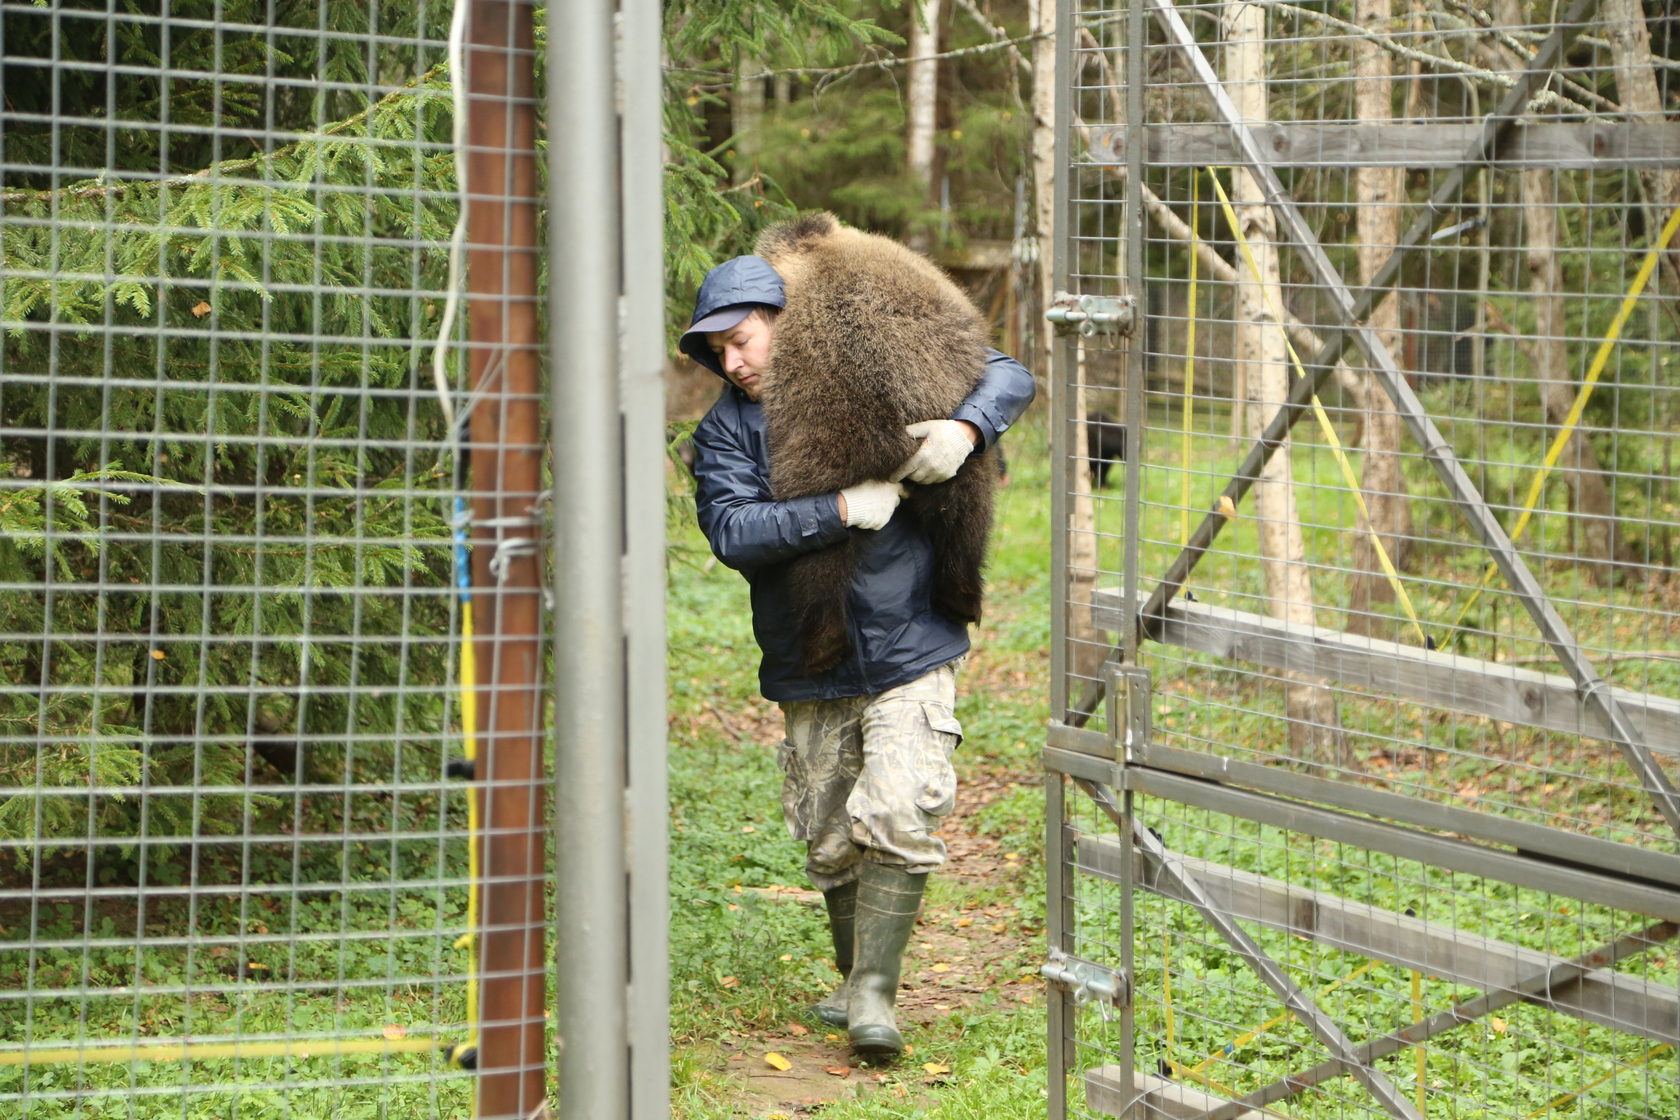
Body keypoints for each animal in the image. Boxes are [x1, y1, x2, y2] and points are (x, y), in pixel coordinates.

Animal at [759, 216, 994, 678]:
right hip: (943, 431)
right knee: (964, 509)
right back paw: (959, 594)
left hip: (820, 436)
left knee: (818, 553)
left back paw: (823, 642)